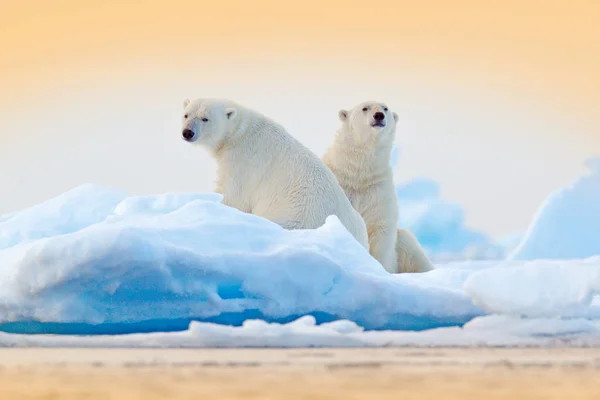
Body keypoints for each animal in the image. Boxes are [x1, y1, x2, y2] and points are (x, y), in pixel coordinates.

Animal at [180, 98, 370, 250]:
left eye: (205, 118)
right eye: (186, 115)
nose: (187, 132)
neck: (240, 133)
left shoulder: (243, 161)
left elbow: (233, 196)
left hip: (294, 216)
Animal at [322, 101, 434, 274]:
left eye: (385, 108)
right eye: (364, 108)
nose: (379, 116)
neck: (358, 175)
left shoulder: (378, 192)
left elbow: (380, 230)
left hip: (404, 244)